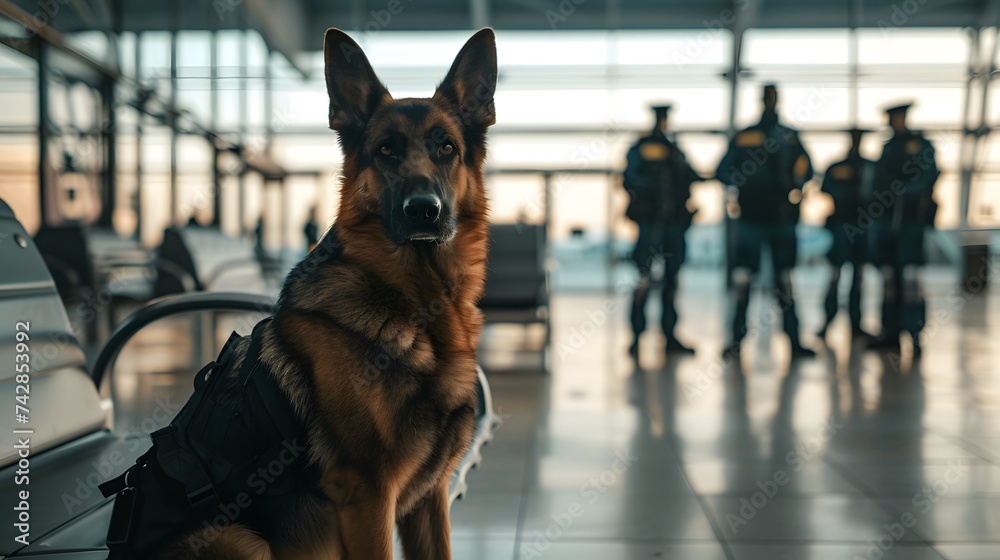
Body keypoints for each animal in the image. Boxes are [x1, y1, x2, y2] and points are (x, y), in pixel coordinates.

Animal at [166, 27, 498, 560]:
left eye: (446, 147)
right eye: (386, 150)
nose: (423, 210)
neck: (417, 308)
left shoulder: (428, 498)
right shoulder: (368, 498)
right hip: (238, 538)